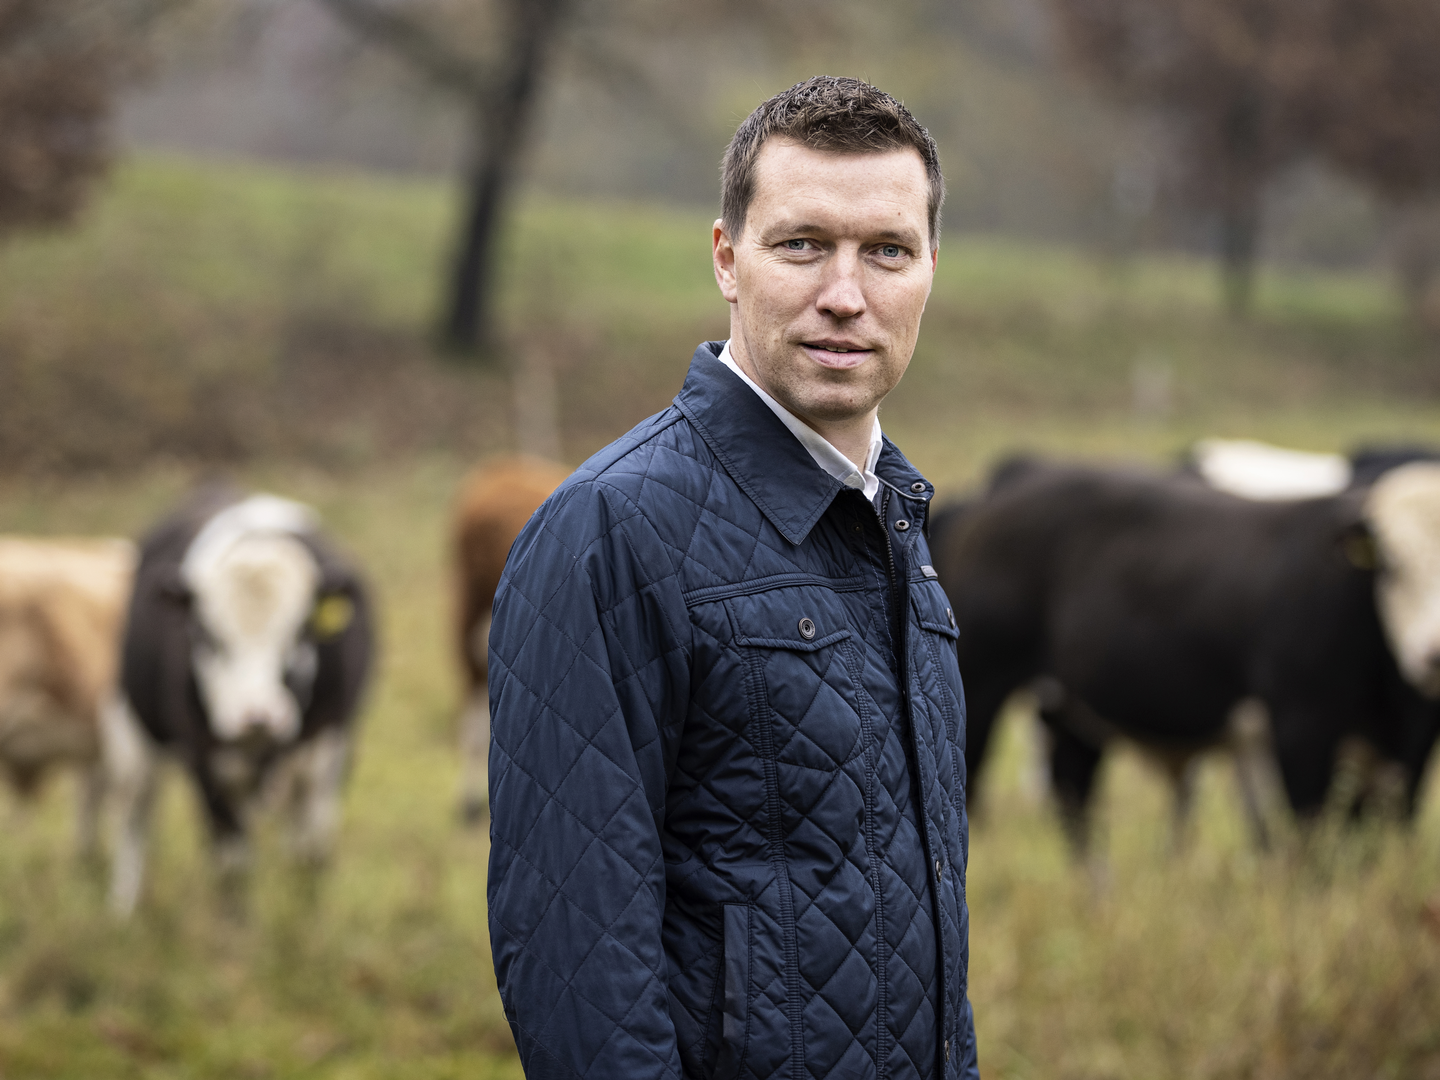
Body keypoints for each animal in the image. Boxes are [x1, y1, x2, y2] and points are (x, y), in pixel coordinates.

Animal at [106, 486, 377, 915]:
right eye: (207, 634)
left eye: (300, 632)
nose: (257, 716)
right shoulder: (206, 764)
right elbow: (232, 862)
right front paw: (236, 930)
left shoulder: (330, 749)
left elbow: (312, 851)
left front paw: (305, 918)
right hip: (133, 730)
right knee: (134, 815)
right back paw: (123, 909)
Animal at [927, 457, 1440, 852]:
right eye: (1393, 564)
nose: (1431, 655)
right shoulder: (1302, 728)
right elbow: (1310, 844)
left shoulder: (1409, 755)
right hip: (982, 691)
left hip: (1068, 707)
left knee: (1075, 802)